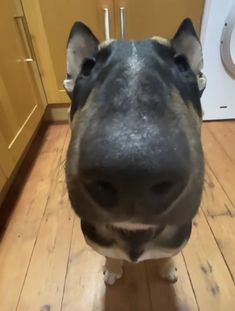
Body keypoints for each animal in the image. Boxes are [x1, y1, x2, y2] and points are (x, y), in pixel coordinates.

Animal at [63, 18, 206, 286]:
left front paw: (167, 267)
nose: (132, 173)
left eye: (182, 64)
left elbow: (167, 254)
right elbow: (110, 254)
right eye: (88, 66)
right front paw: (112, 268)